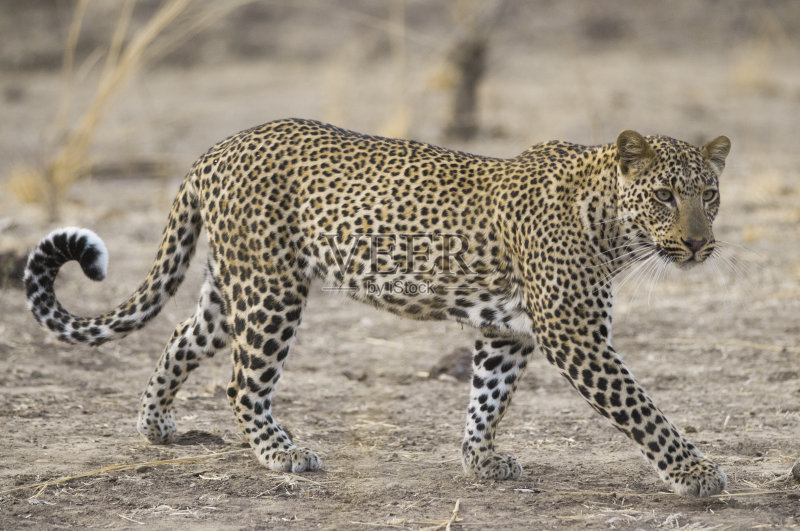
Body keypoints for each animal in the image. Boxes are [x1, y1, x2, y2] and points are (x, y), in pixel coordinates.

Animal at [23, 118, 732, 496]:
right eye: (665, 196)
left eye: (710, 194)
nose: (701, 243)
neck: (612, 225)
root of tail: (217, 149)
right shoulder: (573, 335)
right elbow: (642, 410)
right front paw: (695, 472)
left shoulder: (509, 333)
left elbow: (488, 396)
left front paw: (480, 458)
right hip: (272, 290)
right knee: (242, 382)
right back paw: (281, 454)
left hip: (233, 288)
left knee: (180, 339)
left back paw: (155, 425)